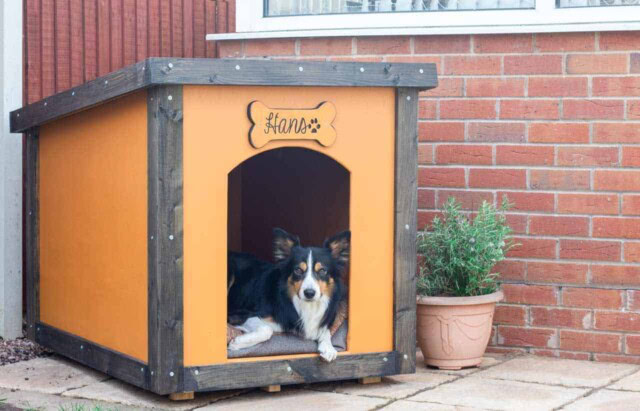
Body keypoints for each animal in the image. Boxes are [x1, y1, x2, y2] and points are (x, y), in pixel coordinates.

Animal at [228, 229, 350, 364]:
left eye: (322, 271)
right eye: (298, 270)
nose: (309, 293)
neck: (306, 305)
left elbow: (325, 329)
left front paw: (328, 347)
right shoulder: (243, 315)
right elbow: (267, 330)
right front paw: (237, 343)